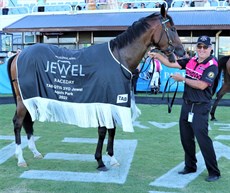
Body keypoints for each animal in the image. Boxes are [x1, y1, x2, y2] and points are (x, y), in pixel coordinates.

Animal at [7, 6, 185, 171]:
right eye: (173, 29)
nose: (182, 52)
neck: (119, 58)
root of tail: (19, 54)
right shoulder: (105, 101)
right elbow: (103, 131)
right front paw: (100, 161)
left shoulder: (114, 101)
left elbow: (111, 130)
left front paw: (111, 158)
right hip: (23, 99)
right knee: (18, 123)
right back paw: (20, 158)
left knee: (28, 122)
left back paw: (35, 152)